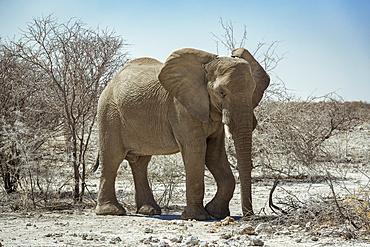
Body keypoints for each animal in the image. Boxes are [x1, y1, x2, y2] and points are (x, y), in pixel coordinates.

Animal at [95, 46, 268, 220]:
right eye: (221, 92)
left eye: (253, 90)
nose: (249, 215)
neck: (205, 69)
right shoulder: (181, 108)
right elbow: (196, 150)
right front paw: (198, 217)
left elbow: (214, 154)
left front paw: (216, 213)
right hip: (109, 113)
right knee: (112, 157)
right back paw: (112, 211)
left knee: (140, 162)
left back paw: (149, 211)